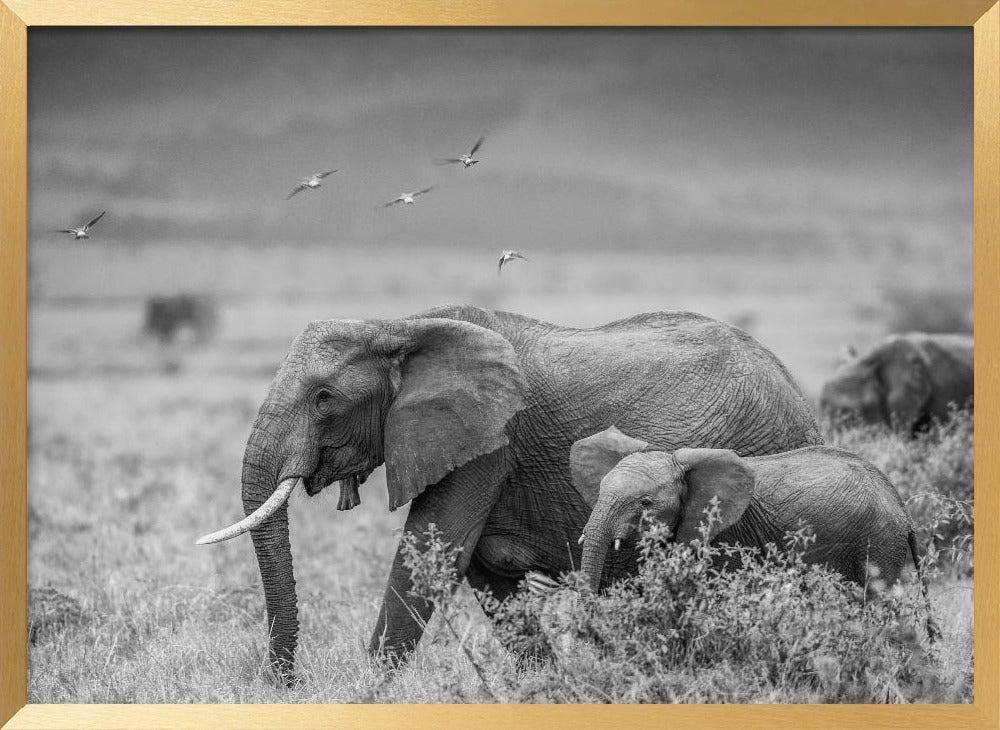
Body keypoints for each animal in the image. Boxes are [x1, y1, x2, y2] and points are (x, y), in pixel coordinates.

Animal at [196, 304, 822, 681]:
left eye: (324, 397)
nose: (282, 683)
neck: (401, 326)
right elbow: (486, 570)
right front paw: (548, 686)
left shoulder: (488, 441)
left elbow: (432, 551)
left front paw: (366, 691)